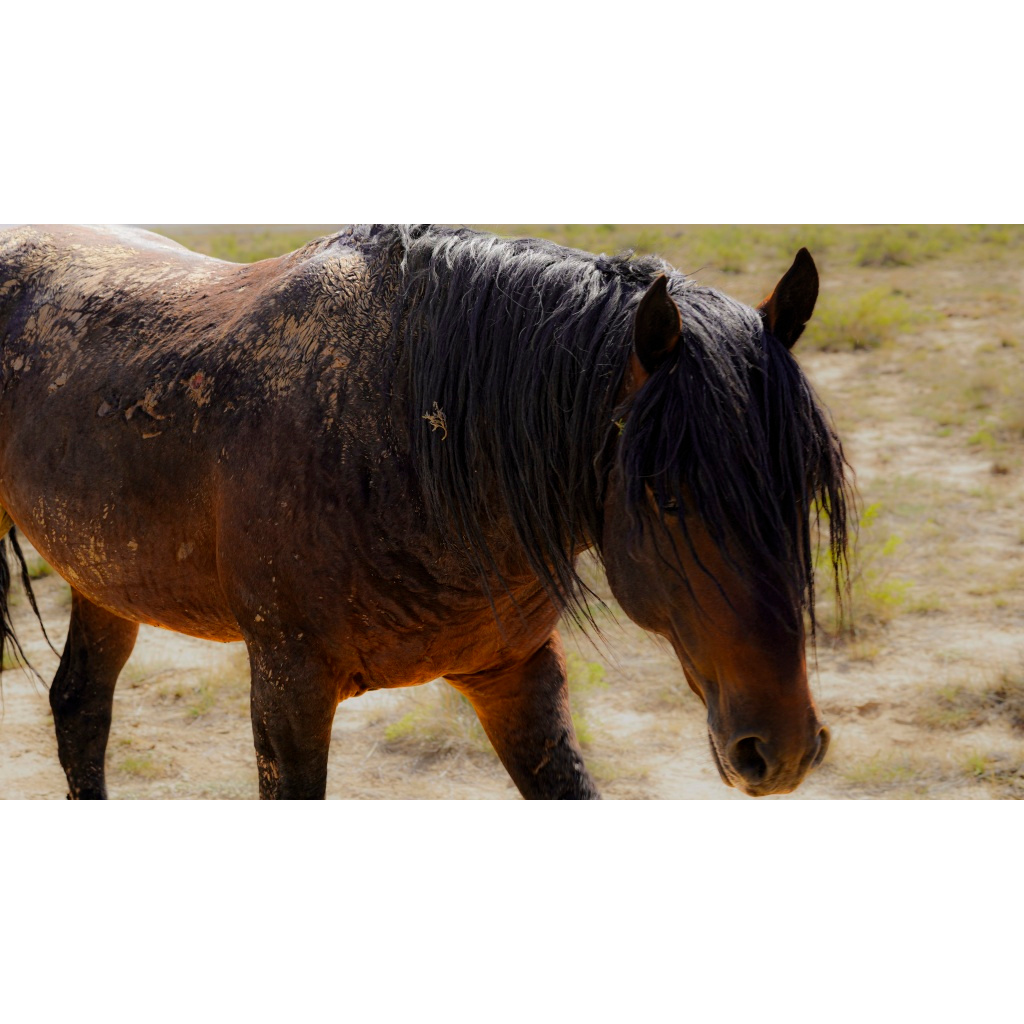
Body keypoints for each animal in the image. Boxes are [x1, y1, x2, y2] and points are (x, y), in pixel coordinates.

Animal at [0, 223, 851, 799]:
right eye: (667, 498)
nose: (781, 749)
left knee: (80, 709)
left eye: (803, 488)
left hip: (104, 578)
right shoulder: (286, 692)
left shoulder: (516, 676)